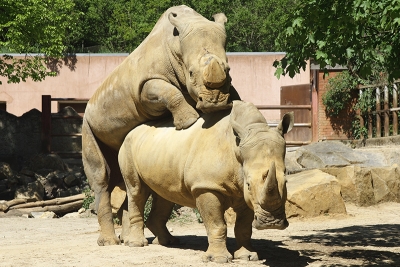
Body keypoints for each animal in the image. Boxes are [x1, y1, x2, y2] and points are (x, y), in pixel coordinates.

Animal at [81, 4, 238, 247]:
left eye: (228, 70)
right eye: (191, 73)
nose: (215, 102)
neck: (177, 47)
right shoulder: (145, 85)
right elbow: (167, 91)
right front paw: (189, 121)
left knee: (128, 182)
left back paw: (138, 239)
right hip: (87, 122)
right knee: (102, 177)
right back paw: (111, 243)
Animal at [119, 101, 294, 262]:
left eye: (286, 182)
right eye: (249, 185)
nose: (272, 223)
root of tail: (131, 131)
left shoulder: (243, 193)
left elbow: (243, 227)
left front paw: (248, 257)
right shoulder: (206, 186)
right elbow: (216, 224)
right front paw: (218, 259)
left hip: (160, 152)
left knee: (164, 195)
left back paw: (168, 242)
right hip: (127, 147)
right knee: (136, 191)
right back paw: (137, 244)